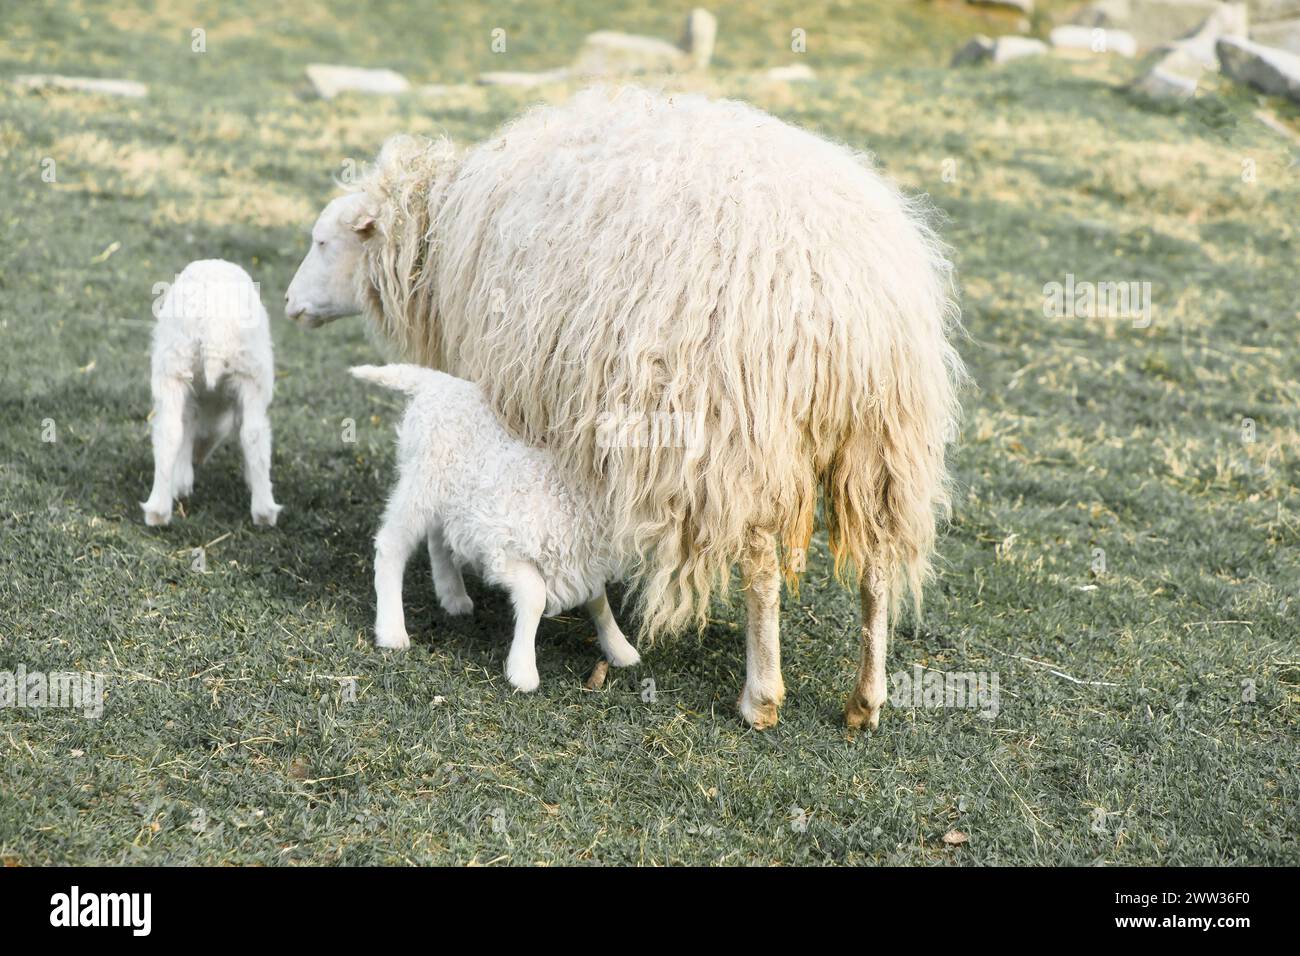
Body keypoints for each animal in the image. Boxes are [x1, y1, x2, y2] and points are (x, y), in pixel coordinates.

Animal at [141, 261, 282, 528]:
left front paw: (181, 481)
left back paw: (158, 511)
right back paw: (264, 512)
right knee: (254, 433)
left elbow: (185, 428)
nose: (199, 457)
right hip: (251, 372)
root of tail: (213, 322)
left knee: (170, 431)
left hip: (175, 365)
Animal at [353, 361, 642, 691]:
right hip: (420, 482)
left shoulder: (580, 558)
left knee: (438, 539)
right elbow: (535, 596)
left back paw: (452, 595)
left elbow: (598, 602)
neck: (572, 491)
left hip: (450, 498)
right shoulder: (504, 549)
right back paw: (391, 630)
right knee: (391, 545)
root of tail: (434, 382)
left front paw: (620, 648)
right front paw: (523, 671)